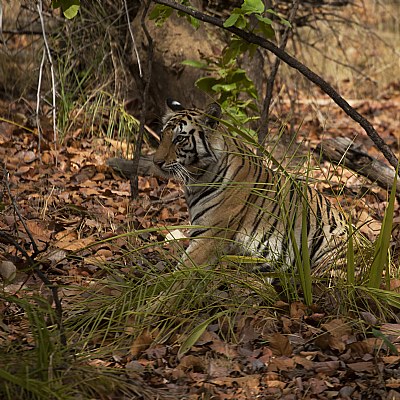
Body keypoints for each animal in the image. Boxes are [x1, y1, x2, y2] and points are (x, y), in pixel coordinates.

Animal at [152, 99, 354, 276]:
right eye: (162, 135)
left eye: (179, 139)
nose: (156, 162)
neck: (196, 178)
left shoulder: (209, 237)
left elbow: (176, 279)